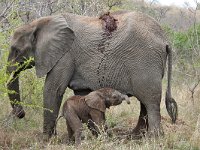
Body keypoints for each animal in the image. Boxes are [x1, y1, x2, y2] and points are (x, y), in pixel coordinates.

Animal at [7, 11, 177, 139]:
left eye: (16, 50)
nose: (21, 114)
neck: (39, 23)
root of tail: (165, 39)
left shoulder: (65, 56)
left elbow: (53, 90)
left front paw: (47, 140)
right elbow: (83, 95)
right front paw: (98, 136)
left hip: (145, 61)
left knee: (150, 100)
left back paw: (154, 138)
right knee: (144, 101)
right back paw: (136, 136)